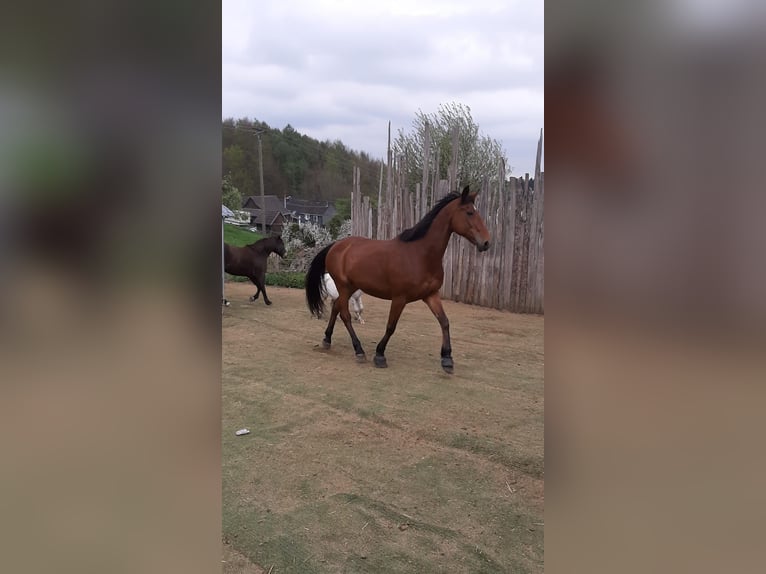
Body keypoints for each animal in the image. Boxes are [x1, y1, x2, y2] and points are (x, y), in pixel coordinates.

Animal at [305, 185, 490, 373]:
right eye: (469, 212)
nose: (486, 243)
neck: (420, 255)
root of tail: (336, 245)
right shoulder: (400, 298)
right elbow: (391, 326)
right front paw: (380, 355)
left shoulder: (431, 295)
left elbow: (444, 322)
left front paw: (447, 359)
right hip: (343, 286)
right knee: (345, 315)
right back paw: (359, 350)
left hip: (349, 288)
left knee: (336, 308)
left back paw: (327, 340)